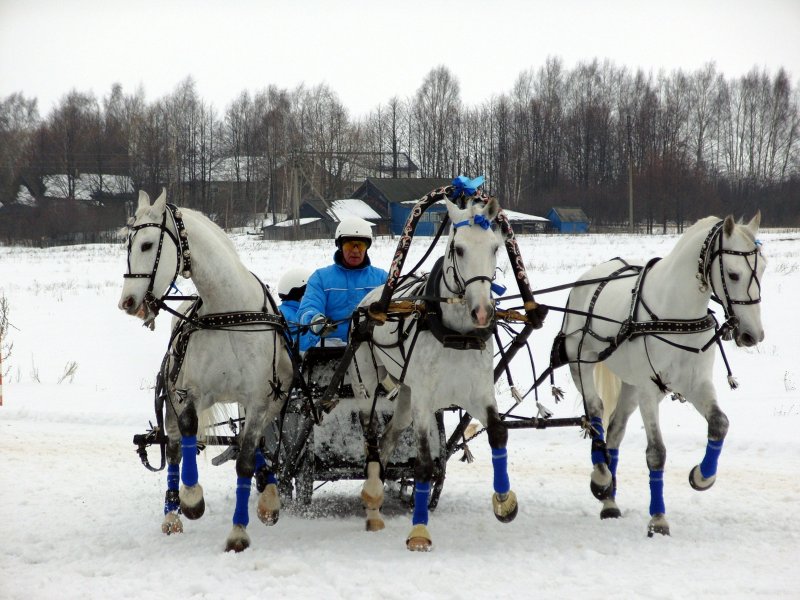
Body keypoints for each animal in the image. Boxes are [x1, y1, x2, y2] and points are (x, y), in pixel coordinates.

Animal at [117, 190, 292, 552]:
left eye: (147, 245)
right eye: (128, 244)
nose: (127, 302)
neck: (228, 309)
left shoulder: (258, 400)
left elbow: (246, 458)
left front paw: (240, 530)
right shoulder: (191, 393)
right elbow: (187, 432)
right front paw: (192, 499)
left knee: (254, 445)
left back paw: (268, 493)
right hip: (171, 397)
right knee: (172, 447)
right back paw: (172, 513)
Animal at [350, 195, 520, 552]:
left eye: (495, 247)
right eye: (459, 248)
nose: (482, 312)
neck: (456, 334)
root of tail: (368, 299)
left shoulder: (477, 393)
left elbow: (498, 433)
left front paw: (504, 501)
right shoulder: (425, 403)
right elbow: (425, 464)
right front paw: (419, 530)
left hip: (406, 393)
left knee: (389, 437)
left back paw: (376, 496)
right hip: (367, 382)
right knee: (371, 434)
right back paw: (372, 494)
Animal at [552, 213, 764, 536]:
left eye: (763, 267)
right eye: (734, 274)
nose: (753, 335)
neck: (677, 314)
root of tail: (588, 277)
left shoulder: (697, 384)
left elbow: (720, 424)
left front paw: (702, 476)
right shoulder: (650, 391)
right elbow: (656, 452)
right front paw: (659, 518)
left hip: (630, 384)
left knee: (615, 432)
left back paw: (609, 501)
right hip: (582, 363)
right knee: (596, 412)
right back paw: (601, 477)